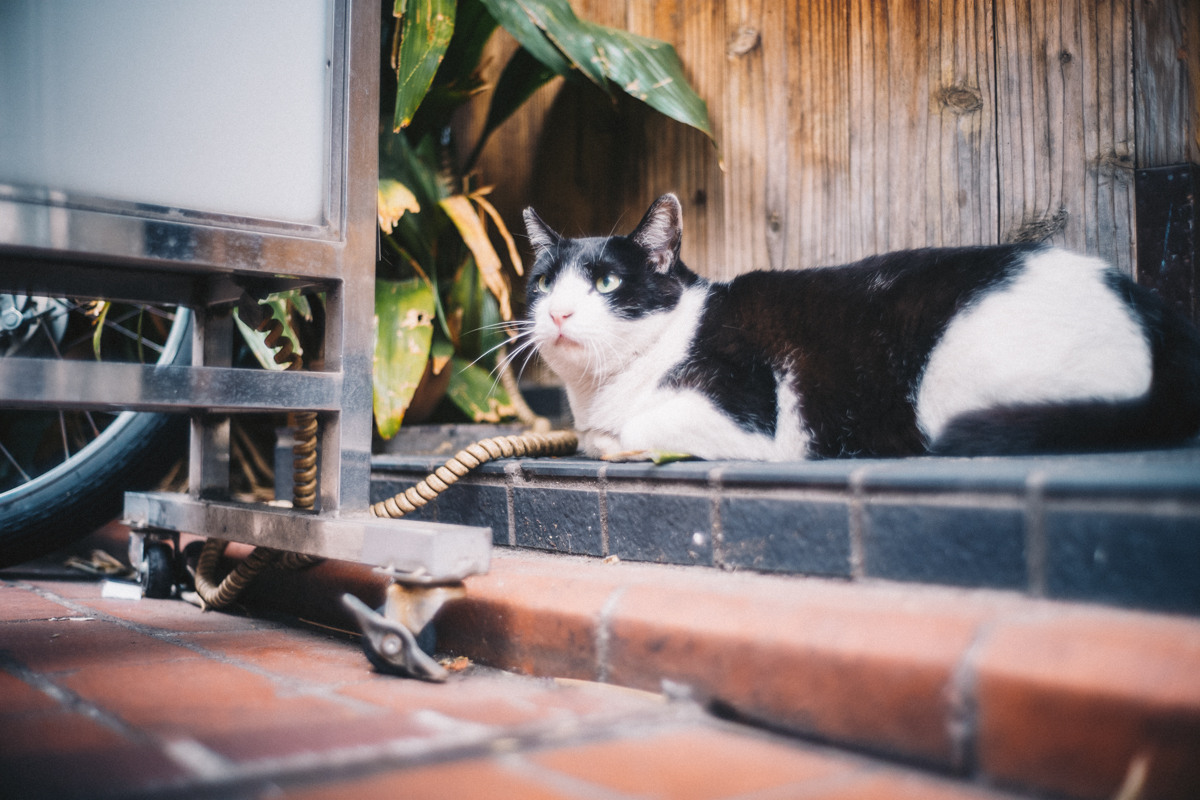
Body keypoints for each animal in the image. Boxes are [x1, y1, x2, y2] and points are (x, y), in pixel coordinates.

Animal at [520, 191, 1200, 462]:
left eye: (607, 283)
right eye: (544, 284)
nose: (557, 312)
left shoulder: (743, 412)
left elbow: (627, 430)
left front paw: (614, 439)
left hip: (952, 378)